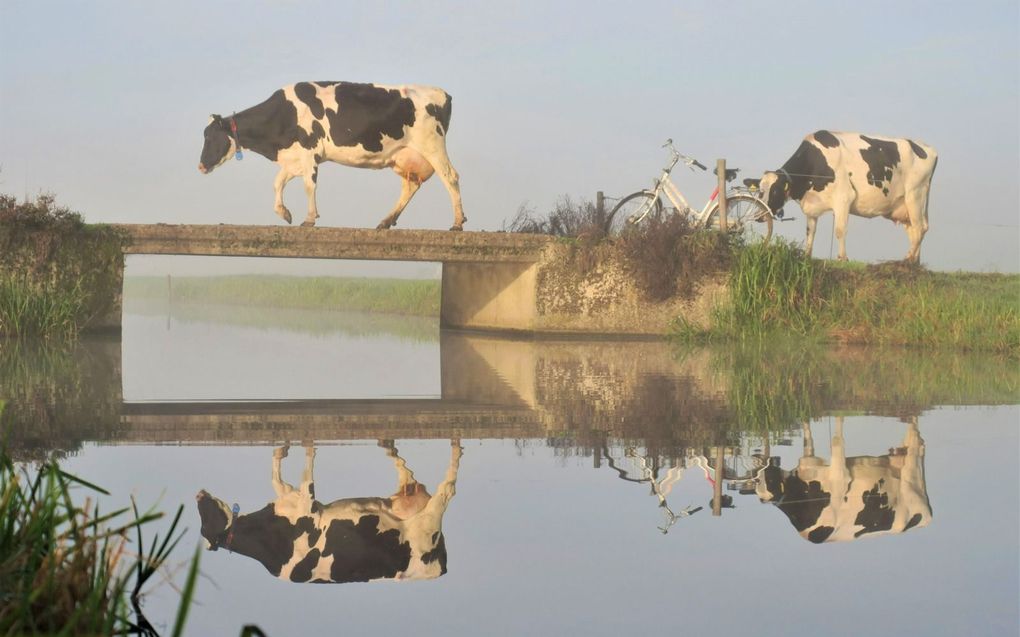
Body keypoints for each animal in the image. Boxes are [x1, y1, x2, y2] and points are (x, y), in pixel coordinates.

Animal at [193, 440, 463, 582]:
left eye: (204, 515)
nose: (199, 494)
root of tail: (441, 569)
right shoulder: (305, 504)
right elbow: (304, 467)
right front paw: (304, 445)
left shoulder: (294, 499)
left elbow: (277, 471)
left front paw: (286, 448)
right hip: (422, 517)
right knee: (443, 487)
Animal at [195, 82, 467, 231]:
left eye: (209, 136)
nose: (200, 166)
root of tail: (442, 93)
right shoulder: (294, 157)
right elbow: (277, 183)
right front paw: (284, 213)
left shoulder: (309, 151)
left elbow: (309, 186)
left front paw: (309, 219)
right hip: (406, 156)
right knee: (410, 186)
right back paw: (387, 220)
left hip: (432, 145)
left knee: (450, 176)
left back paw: (457, 222)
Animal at [750, 415, 934, 542]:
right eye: (757, 478)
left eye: (769, 479)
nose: (757, 457)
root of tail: (928, 516)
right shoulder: (809, 461)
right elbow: (807, 435)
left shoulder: (839, 473)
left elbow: (836, 439)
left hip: (911, 470)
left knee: (916, 439)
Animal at [754, 129, 934, 260]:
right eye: (760, 191)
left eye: (775, 190)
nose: (758, 216)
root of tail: (927, 148)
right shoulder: (811, 207)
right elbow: (810, 232)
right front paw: (807, 256)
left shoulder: (843, 198)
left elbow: (840, 230)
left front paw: (842, 258)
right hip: (906, 206)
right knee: (915, 230)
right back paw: (914, 263)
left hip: (915, 195)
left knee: (919, 228)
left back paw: (908, 258)